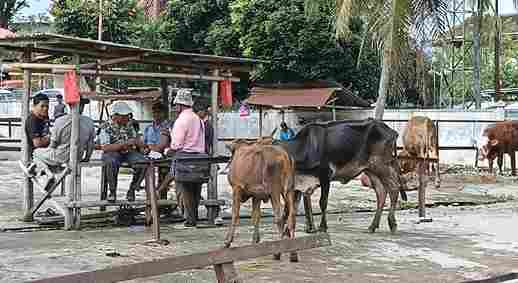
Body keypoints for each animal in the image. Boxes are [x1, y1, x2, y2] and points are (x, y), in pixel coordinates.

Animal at [278, 118, 408, 234]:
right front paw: (305, 228)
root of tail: (391, 131)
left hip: (382, 165)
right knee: (381, 192)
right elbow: (295, 205)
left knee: (393, 188)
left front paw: (322, 227)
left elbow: (322, 202)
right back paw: (372, 227)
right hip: (370, 169)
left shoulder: (325, 175)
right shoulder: (300, 184)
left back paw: (392, 224)